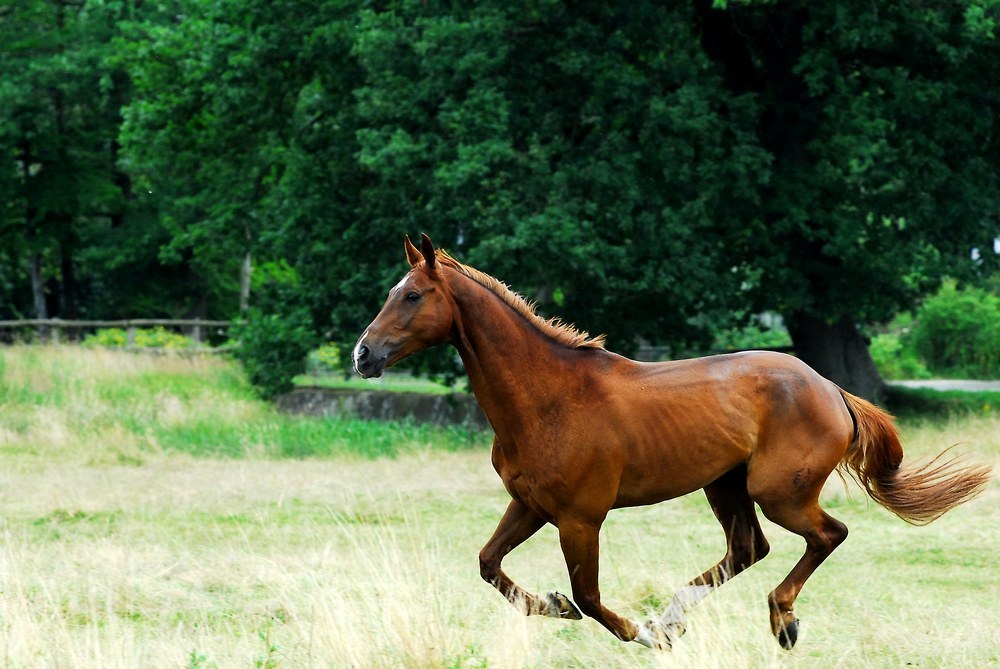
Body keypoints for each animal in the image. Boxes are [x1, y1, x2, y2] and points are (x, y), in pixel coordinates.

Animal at [354, 234, 992, 648]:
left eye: (412, 296)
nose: (363, 354)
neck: (548, 398)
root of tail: (831, 389)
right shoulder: (530, 505)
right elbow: (490, 564)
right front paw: (556, 607)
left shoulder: (580, 518)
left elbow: (588, 596)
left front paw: (639, 634)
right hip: (725, 485)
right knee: (748, 549)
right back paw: (676, 618)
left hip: (777, 491)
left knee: (826, 535)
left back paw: (778, 622)